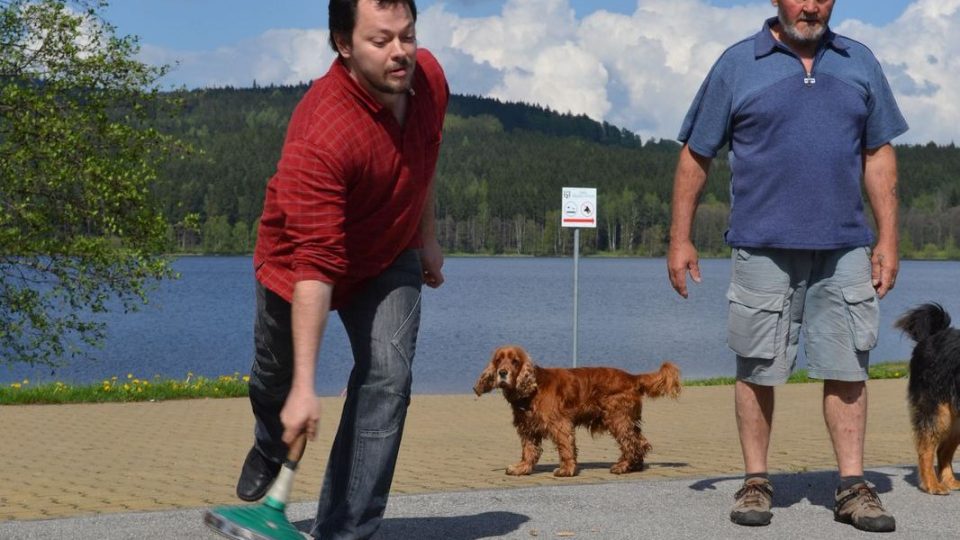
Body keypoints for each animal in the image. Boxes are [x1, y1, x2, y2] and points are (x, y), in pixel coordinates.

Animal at [892, 302, 960, 496]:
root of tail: (933, 335)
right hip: (938, 412)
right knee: (926, 449)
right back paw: (932, 484)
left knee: (943, 451)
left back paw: (949, 481)